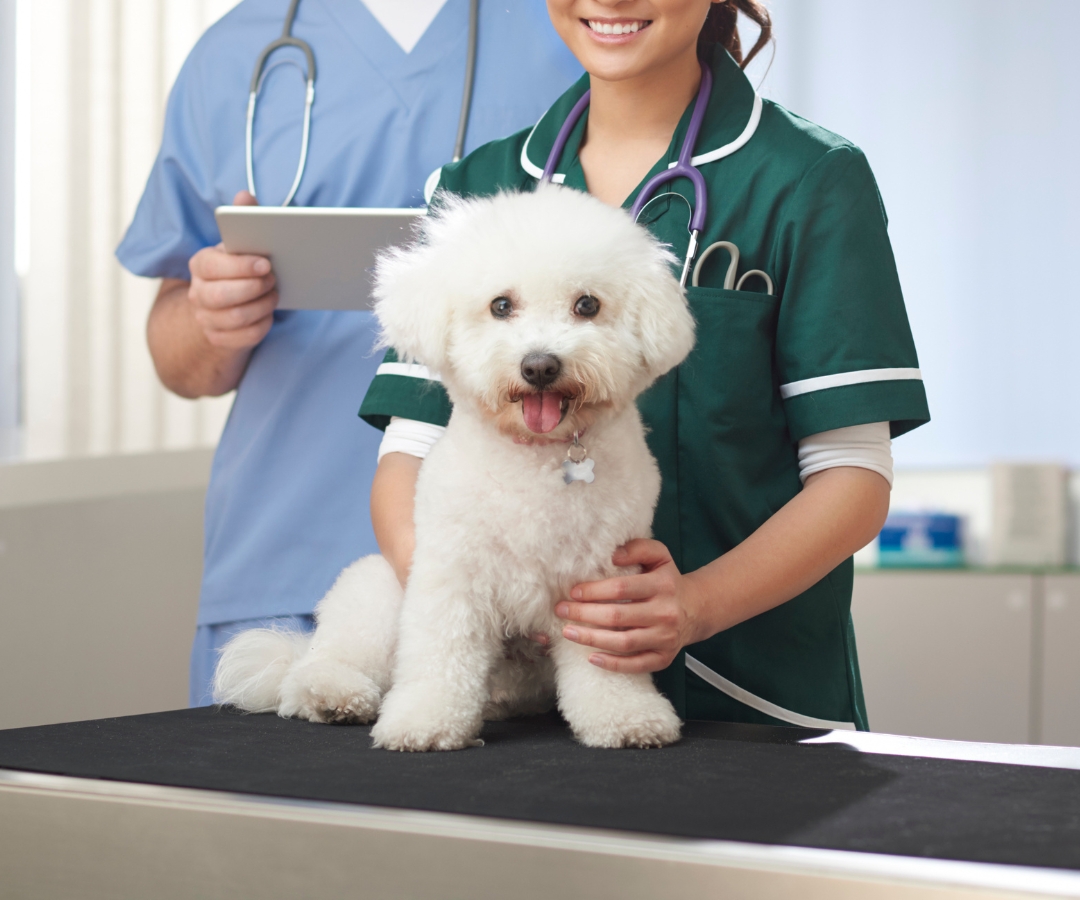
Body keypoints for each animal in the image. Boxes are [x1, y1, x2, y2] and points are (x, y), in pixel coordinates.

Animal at [214, 184, 695, 751]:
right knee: (321, 664)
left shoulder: (605, 583)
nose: (539, 365)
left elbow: (606, 664)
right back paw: (331, 694)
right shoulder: (452, 575)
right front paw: (425, 721)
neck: (536, 458)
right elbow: (441, 656)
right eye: (501, 305)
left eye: (587, 305)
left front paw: (625, 717)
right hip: (377, 597)